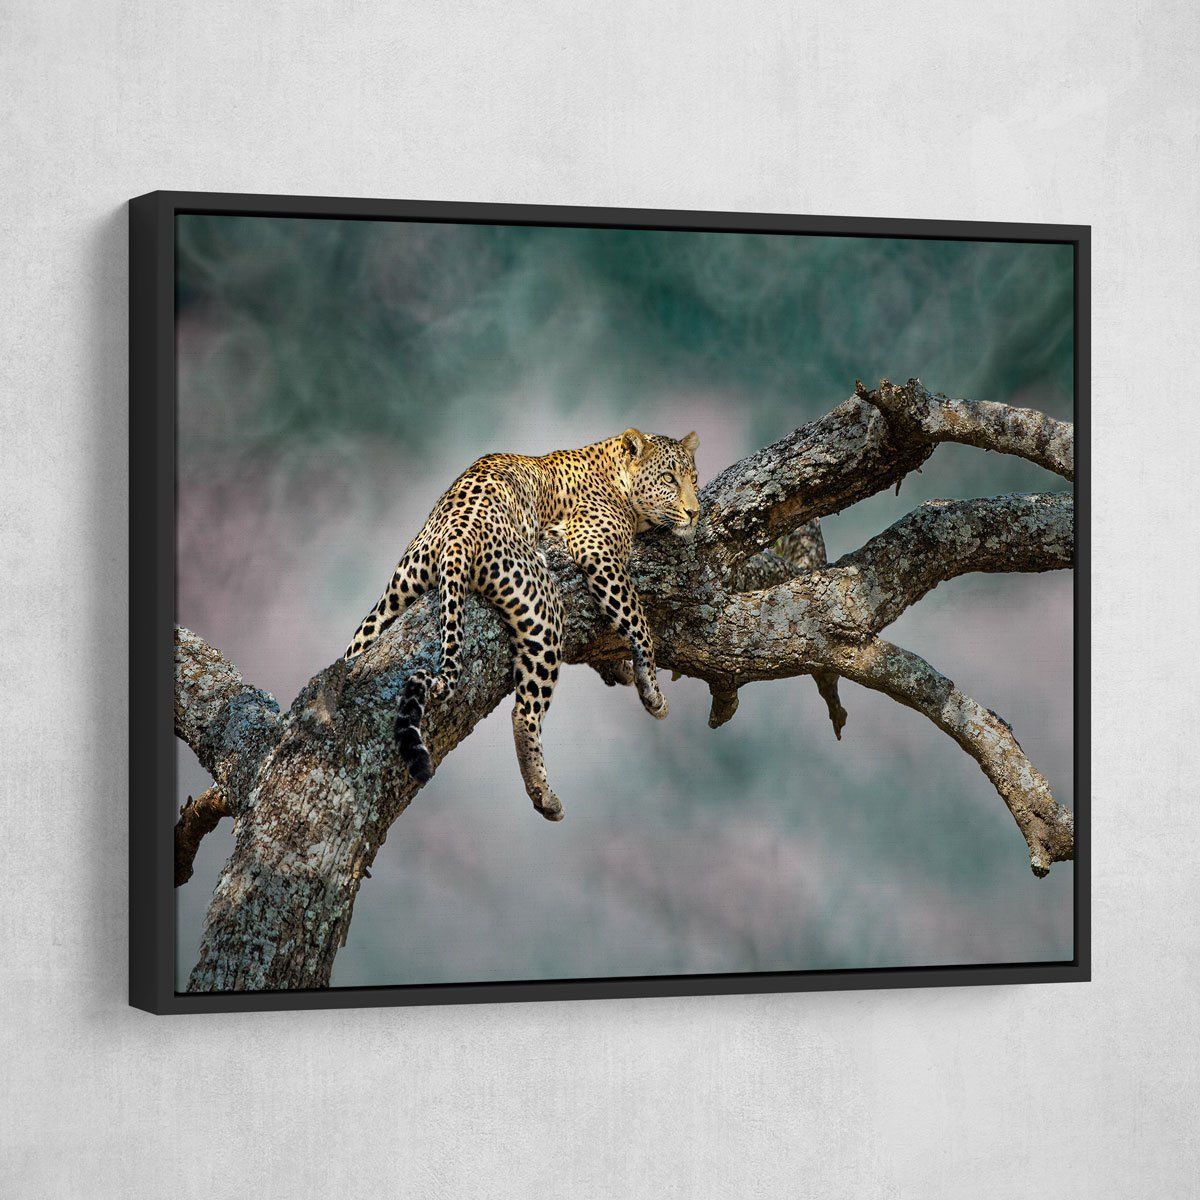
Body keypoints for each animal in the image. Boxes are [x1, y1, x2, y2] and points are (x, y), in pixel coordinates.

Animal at [344, 428, 700, 821]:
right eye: (669, 479)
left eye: (694, 479)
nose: (695, 512)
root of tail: (457, 532)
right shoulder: (597, 550)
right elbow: (637, 620)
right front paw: (651, 689)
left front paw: (620, 668)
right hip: (544, 608)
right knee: (524, 711)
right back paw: (543, 795)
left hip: (394, 598)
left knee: (355, 650)